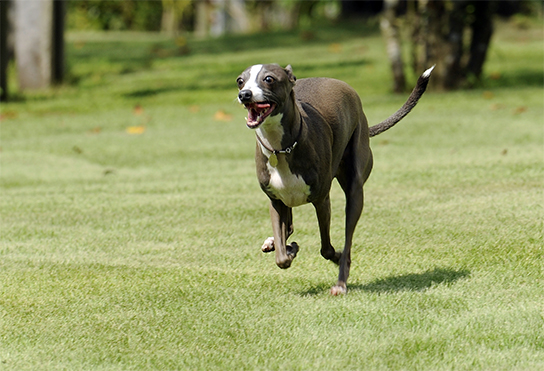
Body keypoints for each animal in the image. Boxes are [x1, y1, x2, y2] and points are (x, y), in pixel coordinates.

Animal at [236, 64, 432, 296]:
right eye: (240, 81)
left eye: (268, 79)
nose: (244, 95)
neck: (281, 148)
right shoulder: (275, 201)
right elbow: (282, 258)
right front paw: (288, 248)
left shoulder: (322, 200)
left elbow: (326, 249)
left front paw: (332, 256)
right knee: (289, 226)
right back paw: (275, 242)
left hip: (355, 187)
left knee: (348, 234)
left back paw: (341, 280)